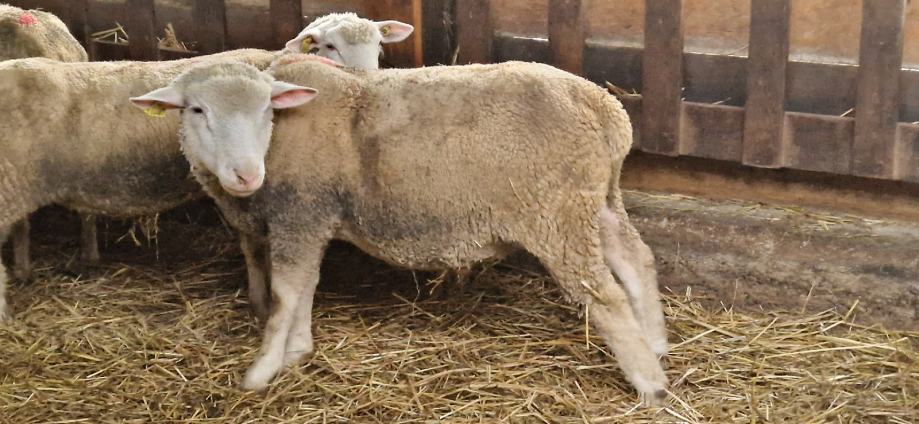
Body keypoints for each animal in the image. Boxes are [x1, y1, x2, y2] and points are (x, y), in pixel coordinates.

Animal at [131, 56, 668, 404]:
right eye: (197, 110)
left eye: (267, 109)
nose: (245, 174)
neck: (277, 140)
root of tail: (603, 107)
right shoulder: (308, 219)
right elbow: (304, 288)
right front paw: (297, 351)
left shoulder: (300, 211)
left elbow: (284, 294)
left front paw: (262, 371)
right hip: (595, 199)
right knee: (636, 260)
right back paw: (657, 344)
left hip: (556, 212)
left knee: (604, 295)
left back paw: (651, 385)